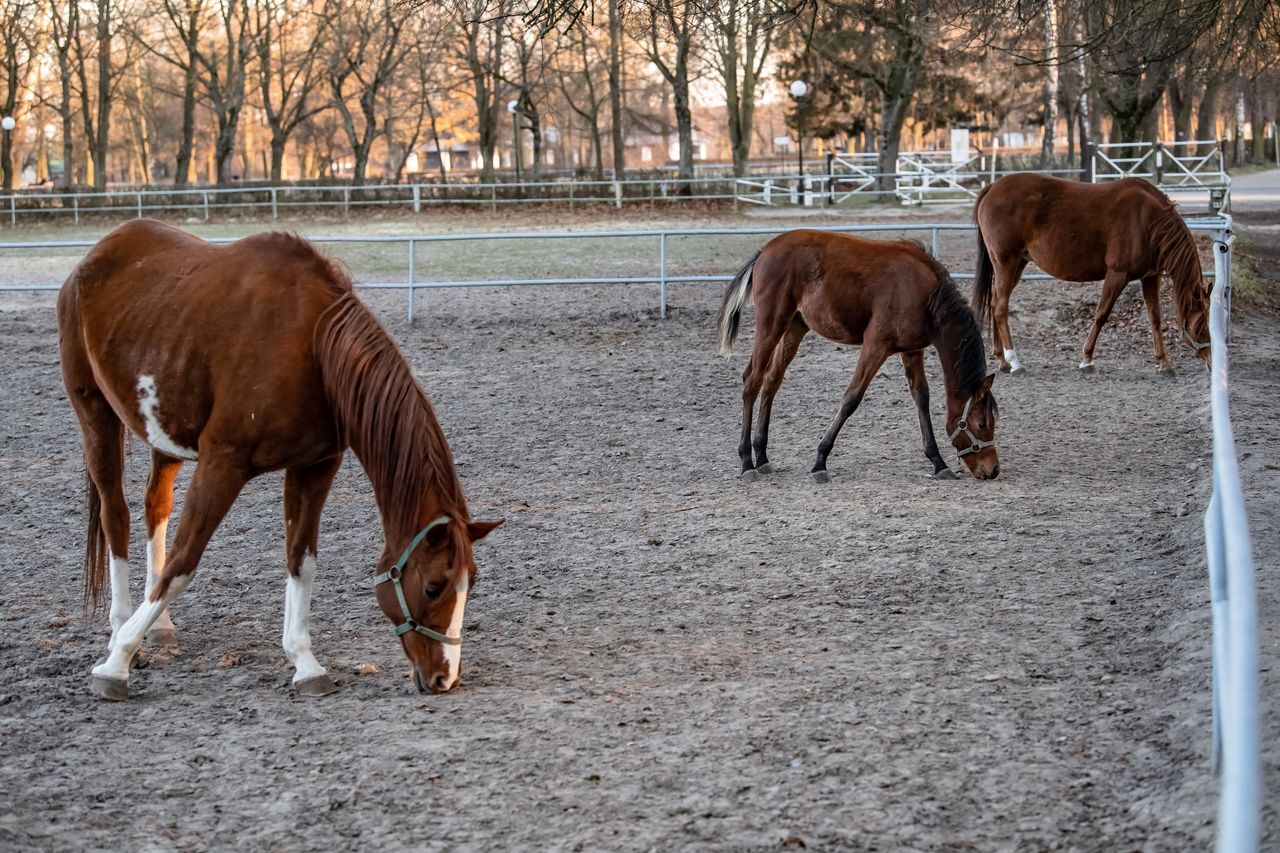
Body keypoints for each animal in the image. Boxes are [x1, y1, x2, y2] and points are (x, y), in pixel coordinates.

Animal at [60, 217, 501, 696]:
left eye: (472, 581)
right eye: (435, 586)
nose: (444, 677)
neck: (312, 347)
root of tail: (95, 256)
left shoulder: (314, 467)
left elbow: (300, 561)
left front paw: (304, 662)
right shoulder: (222, 464)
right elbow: (183, 563)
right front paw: (116, 663)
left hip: (165, 435)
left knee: (154, 507)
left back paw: (158, 627)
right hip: (95, 413)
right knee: (115, 515)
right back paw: (120, 629)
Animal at [721, 229, 998, 481]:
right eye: (982, 424)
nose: (993, 470)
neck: (926, 294)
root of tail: (764, 251)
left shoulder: (911, 350)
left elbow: (921, 397)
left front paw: (938, 461)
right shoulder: (875, 346)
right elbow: (851, 398)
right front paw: (820, 460)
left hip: (794, 328)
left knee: (771, 381)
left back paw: (762, 457)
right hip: (771, 325)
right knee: (752, 381)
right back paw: (747, 462)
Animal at [967, 172, 1208, 371]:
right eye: (1202, 324)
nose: (1209, 361)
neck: (1147, 220)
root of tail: (993, 187)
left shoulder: (1150, 277)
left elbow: (1155, 318)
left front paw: (1164, 363)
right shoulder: (1117, 275)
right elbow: (1101, 314)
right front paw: (1087, 358)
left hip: (1017, 265)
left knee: (995, 303)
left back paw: (1001, 359)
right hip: (1006, 263)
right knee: (1000, 307)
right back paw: (1014, 361)